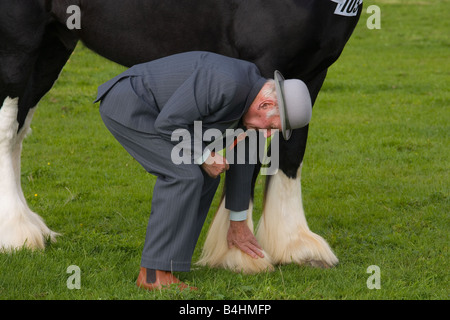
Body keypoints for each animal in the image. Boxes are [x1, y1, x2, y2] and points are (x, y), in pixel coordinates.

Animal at [0, 0, 360, 272]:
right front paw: (238, 251)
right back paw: (16, 233)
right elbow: (247, 162)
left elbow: (292, 151)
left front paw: (295, 244)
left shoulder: (311, 74)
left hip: (52, 45)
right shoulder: (261, 64)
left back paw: (30, 226)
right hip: (18, 44)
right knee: (7, 129)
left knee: (19, 128)